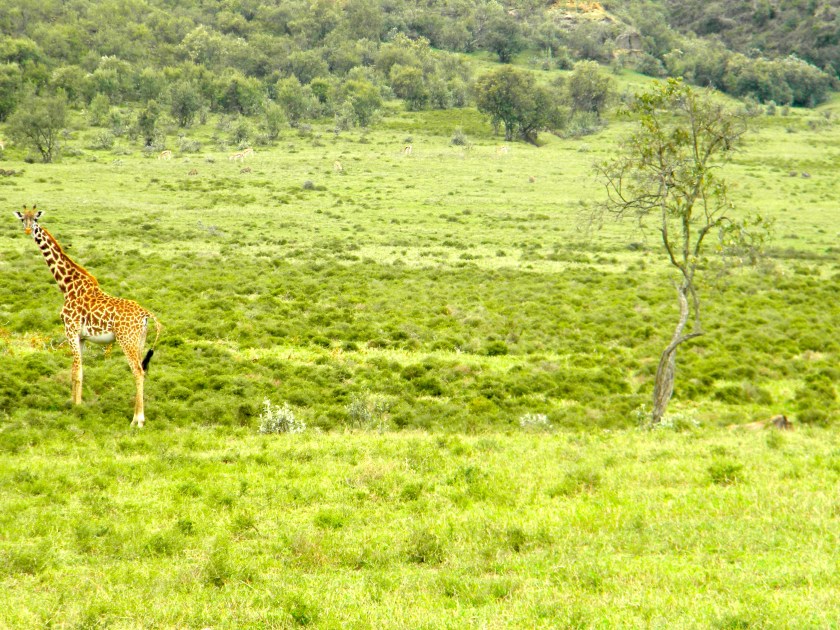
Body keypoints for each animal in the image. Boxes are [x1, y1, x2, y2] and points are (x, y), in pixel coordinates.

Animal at [14, 206, 162, 427]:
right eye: (23, 219)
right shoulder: (82, 337)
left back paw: (138, 421)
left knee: (137, 370)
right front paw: (77, 404)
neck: (67, 286)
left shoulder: (70, 330)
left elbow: (75, 372)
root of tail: (146, 314)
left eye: (35, 219)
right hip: (140, 341)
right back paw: (137, 417)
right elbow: (80, 371)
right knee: (142, 371)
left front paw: (75, 408)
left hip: (126, 340)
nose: (27, 230)